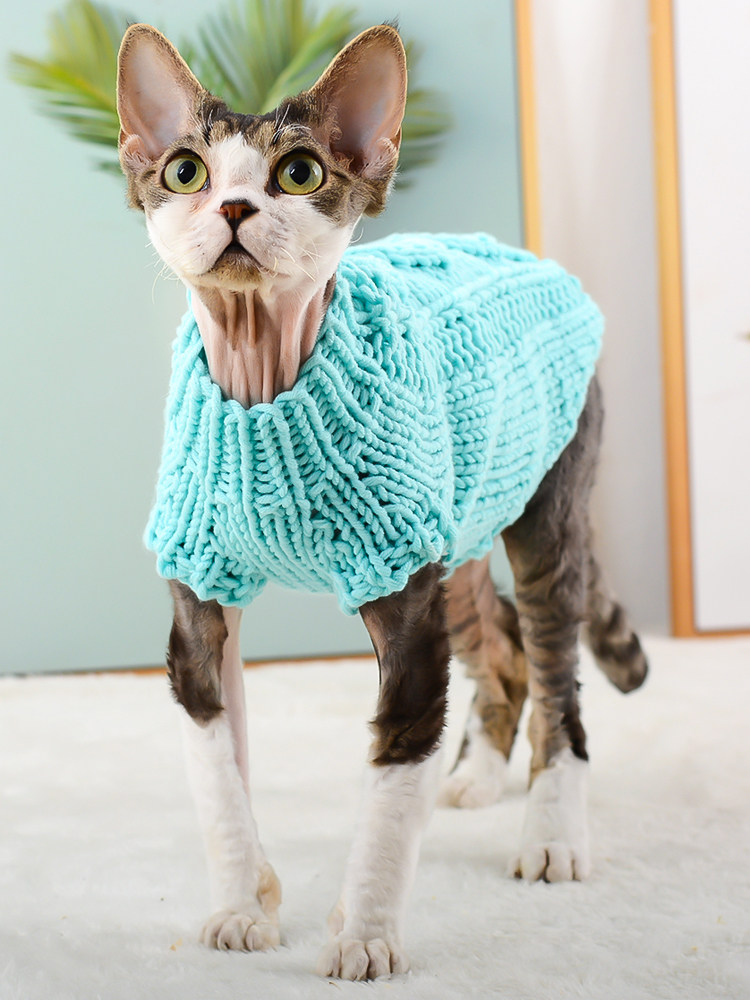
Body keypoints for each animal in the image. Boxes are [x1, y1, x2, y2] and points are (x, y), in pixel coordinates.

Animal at [116, 23, 648, 981]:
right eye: (185, 171)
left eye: (299, 173)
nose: (234, 209)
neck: (263, 381)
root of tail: (522, 253)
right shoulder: (200, 591)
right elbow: (219, 772)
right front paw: (242, 906)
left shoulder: (405, 601)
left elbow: (394, 770)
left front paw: (364, 934)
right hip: (464, 512)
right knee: (501, 644)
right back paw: (474, 776)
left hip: (543, 514)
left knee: (556, 673)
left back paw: (551, 834)